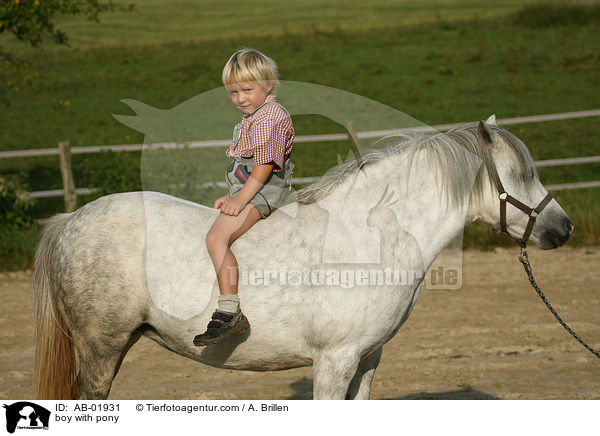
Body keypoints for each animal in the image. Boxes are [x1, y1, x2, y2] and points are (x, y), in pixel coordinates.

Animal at [31, 119, 572, 398]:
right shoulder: (334, 361)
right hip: (100, 349)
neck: (367, 241)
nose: (562, 227)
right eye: (523, 174)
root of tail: (72, 218)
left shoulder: (367, 359)